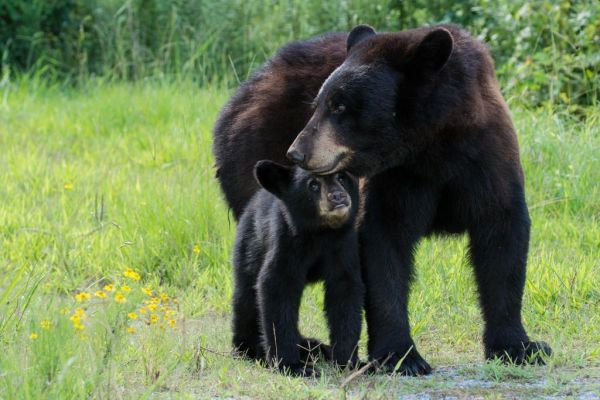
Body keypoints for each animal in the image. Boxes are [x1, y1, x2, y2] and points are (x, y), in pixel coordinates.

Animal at [232, 161, 364, 376]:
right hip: (248, 250)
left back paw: (315, 348)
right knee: (245, 300)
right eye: (313, 185)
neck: (320, 231)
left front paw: (349, 361)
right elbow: (277, 288)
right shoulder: (286, 242)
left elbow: (345, 293)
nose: (338, 196)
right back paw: (250, 350)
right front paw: (292, 365)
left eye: (341, 177)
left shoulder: (344, 245)